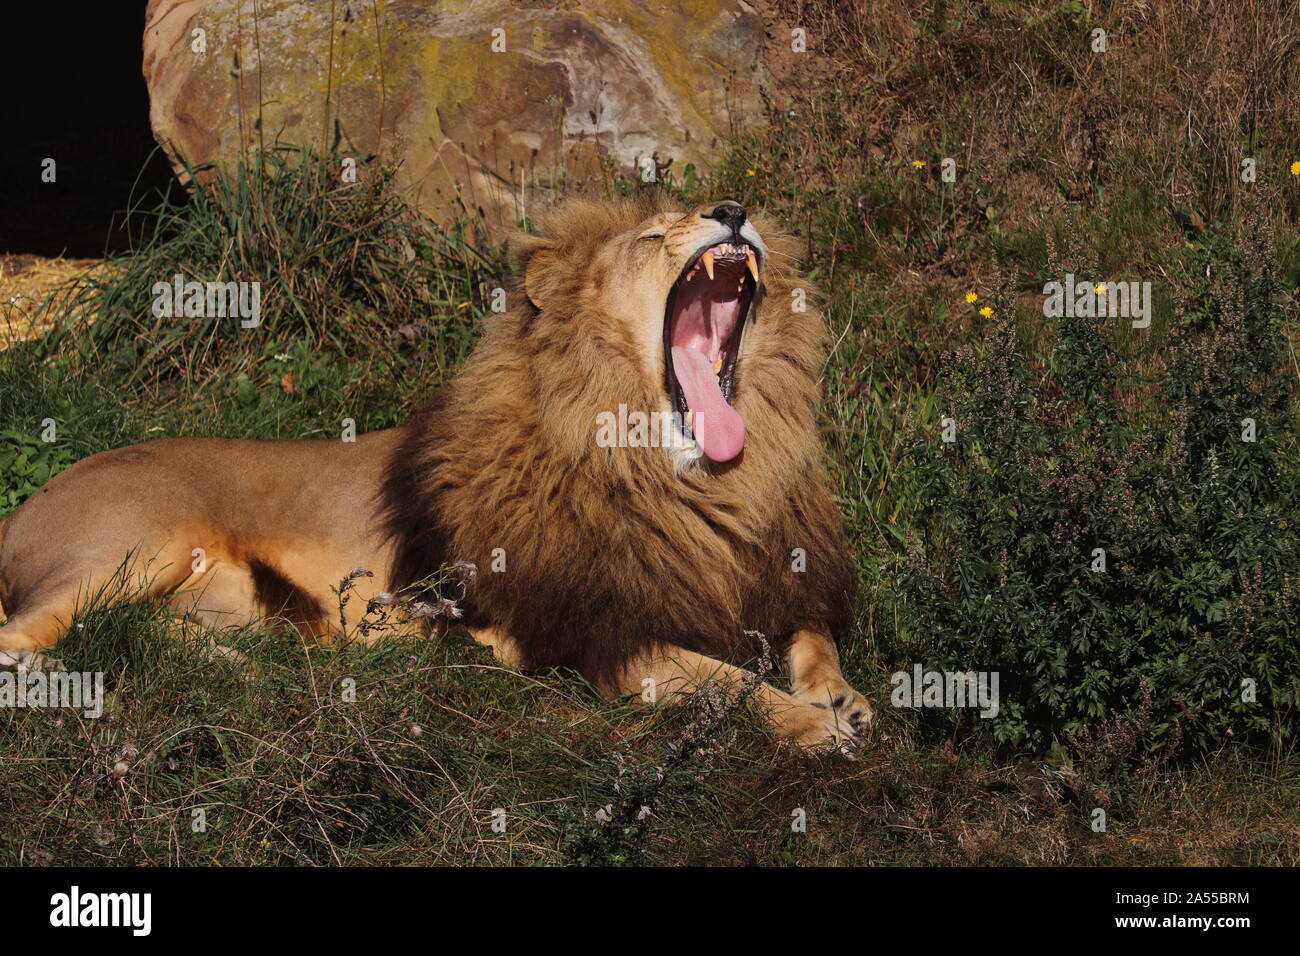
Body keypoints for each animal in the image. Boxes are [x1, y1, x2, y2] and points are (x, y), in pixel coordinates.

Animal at [0, 197, 878, 749]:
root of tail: (25, 506)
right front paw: (812, 725)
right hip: (134, 545)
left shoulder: (779, 578)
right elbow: (723, 683)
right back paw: (78, 685)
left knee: (150, 635)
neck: (695, 481)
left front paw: (845, 698)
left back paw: (244, 672)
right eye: (651, 236)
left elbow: (813, 639)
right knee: (22, 638)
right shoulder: (592, 634)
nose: (732, 211)